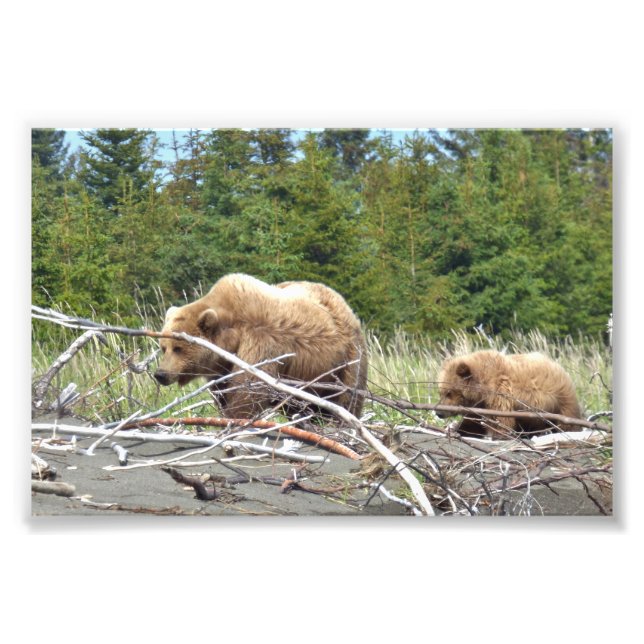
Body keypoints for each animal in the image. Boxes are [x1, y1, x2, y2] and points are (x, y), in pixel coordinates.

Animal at [154, 273, 368, 419]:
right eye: (164, 348)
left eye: (178, 348)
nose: (161, 374)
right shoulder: (222, 368)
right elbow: (223, 392)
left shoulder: (259, 343)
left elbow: (247, 391)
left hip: (348, 358)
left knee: (348, 398)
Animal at [437, 350, 581, 439]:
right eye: (441, 392)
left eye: (449, 393)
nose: (439, 413)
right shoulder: (479, 406)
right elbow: (473, 422)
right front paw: (459, 430)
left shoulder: (500, 393)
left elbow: (501, 420)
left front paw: (498, 435)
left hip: (560, 400)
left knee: (568, 418)